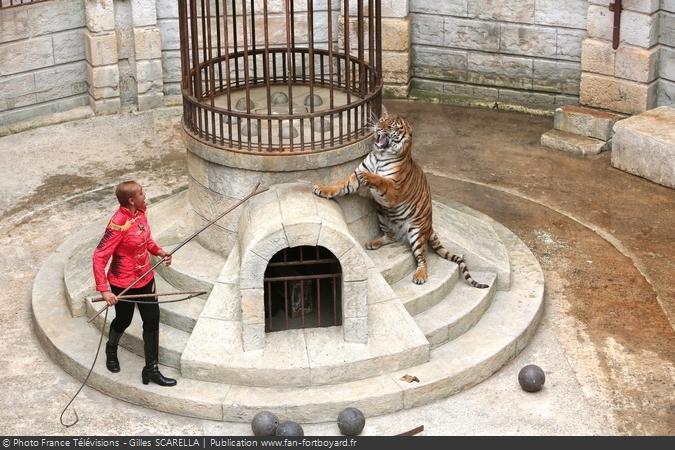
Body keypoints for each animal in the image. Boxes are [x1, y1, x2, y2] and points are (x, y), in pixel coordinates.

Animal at [314, 112, 488, 288]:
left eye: (391, 126)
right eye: (382, 120)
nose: (378, 127)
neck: (380, 155)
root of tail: (429, 228)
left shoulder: (393, 191)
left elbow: (381, 180)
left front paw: (369, 177)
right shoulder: (355, 178)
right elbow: (339, 186)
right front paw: (321, 189)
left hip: (416, 233)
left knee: (423, 258)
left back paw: (420, 275)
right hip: (382, 215)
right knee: (391, 237)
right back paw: (373, 243)